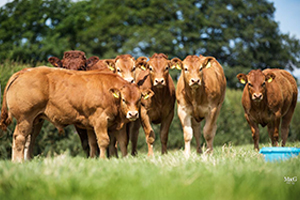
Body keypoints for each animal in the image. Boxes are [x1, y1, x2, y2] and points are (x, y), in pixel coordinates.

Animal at [0, 67, 152, 162]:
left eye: (139, 100)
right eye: (124, 99)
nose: (133, 114)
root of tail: (24, 71)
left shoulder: (117, 124)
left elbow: (122, 142)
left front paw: (125, 159)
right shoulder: (100, 121)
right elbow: (104, 141)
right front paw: (103, 159)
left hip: (36, 120)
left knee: (29, 140)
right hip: (25, 118)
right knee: (19, 138)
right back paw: (18, 162)